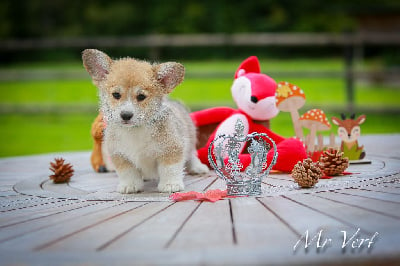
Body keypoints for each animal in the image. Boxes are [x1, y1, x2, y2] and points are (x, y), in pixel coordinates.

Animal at [82, 48, 208, 193]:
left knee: (191, 154)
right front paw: (129, 185)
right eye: (116, 95)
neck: (135, 130)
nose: (126, 115)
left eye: (141, 96)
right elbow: (127, 172)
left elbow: (169, 169)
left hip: (190, 137)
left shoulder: (172, 148)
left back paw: (198, 167)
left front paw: (170, 185)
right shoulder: (119, 154)